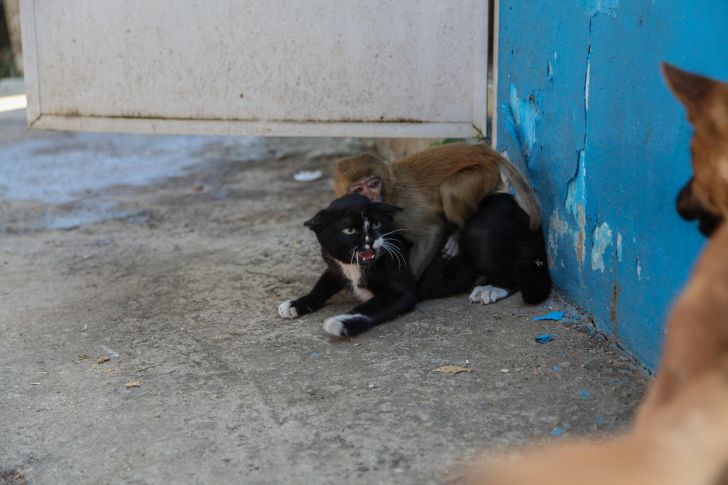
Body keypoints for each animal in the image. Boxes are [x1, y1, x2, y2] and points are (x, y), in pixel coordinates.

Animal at [278, 193, 416, 336]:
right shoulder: (334, 268)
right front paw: (294, 305)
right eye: (349, 230)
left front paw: (340, 322)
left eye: (377, 224)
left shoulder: (401, 290)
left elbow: (371, 307)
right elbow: (321, 286)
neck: (355, 267)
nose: (370, 240)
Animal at [332, 142, 536, 278]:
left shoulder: (402, 211)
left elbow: (432, 231)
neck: (389, 191)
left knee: (450, 190)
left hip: (483, 175)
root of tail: (479, 149)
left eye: (373, 185)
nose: (372, 198)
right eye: (359, 189)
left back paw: (457, 233)